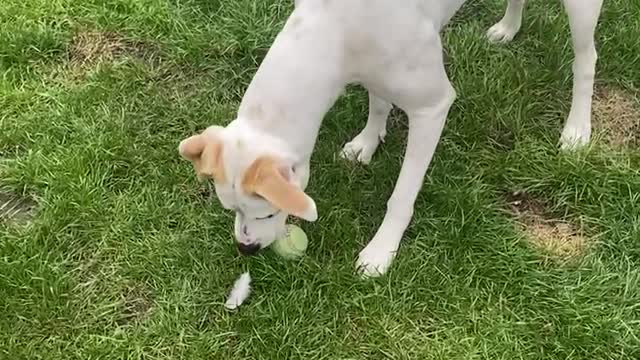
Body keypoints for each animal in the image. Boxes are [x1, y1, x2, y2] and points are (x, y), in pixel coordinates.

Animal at [181, 0, 604, 278]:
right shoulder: (373, 70)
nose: (245, 249)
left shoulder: (432, 108)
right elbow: (379, 103)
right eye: (230, 208)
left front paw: (382, 249)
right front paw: (368, 142)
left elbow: (401, 196)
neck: (334, 27)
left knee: (586, 59)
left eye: (266, 212)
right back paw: (508, 28)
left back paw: (576, 130)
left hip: (582, 12)